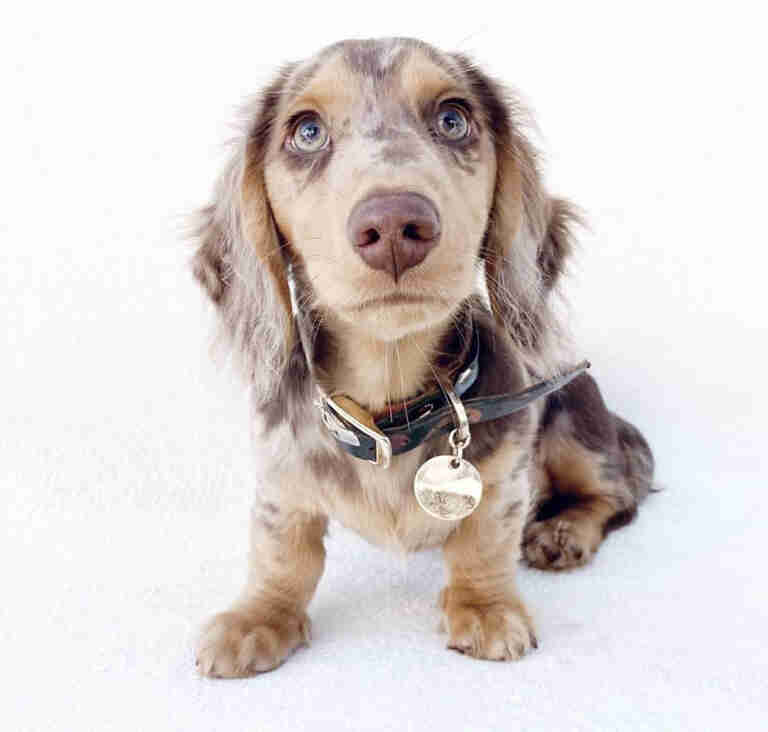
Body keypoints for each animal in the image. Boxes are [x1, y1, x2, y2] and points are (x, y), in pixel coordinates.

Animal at [192, 35, 656, 676]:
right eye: (306, 131)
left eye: (453, 119)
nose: (393, 224)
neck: (389, 410)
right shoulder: (279, 481)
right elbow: (281, 553)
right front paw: (258, 617)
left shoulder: (506, 470)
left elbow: (485, 537)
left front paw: (485, 606)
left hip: (576, 422)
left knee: (617, 492)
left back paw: (563, 531)